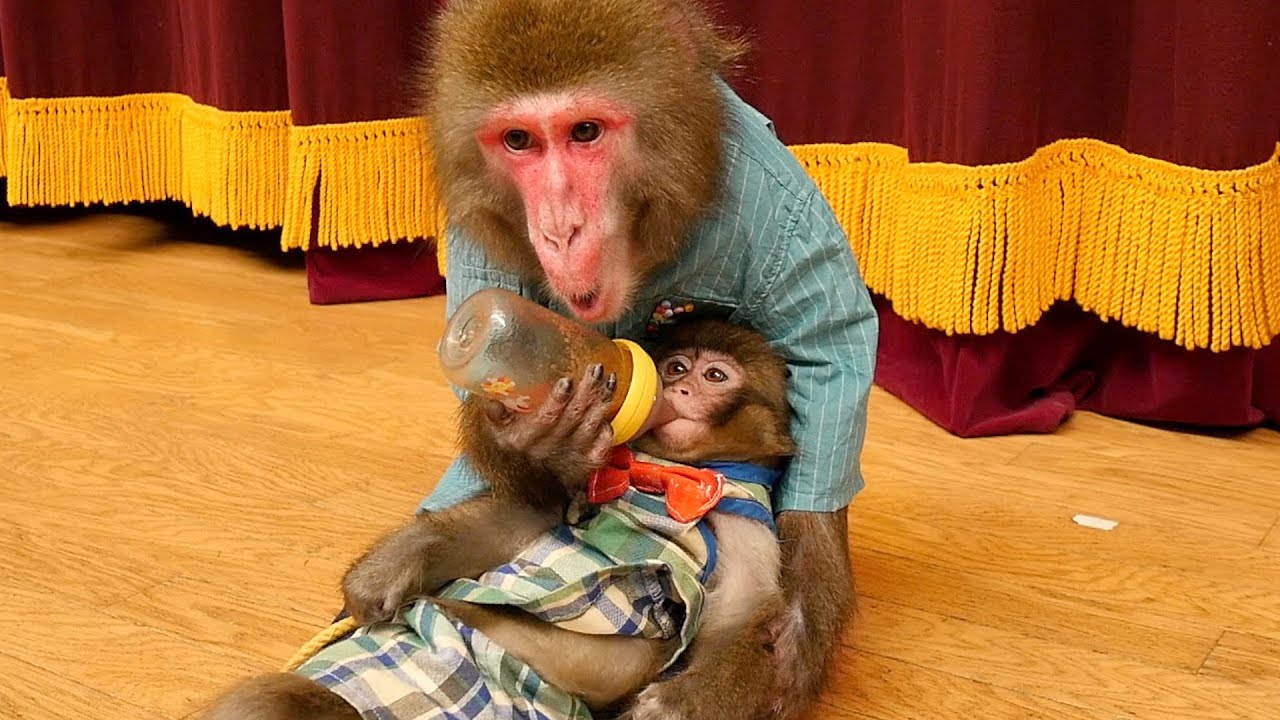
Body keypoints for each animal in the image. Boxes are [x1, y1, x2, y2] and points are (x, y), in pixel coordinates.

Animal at [203, 318, 796, 720]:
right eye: (676, 367)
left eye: (715, 375)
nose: (679, 389)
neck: (664, 469)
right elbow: (525, 520)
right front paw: (384, 572)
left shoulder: (745, 528)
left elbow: (747, 616)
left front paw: (677, 705)